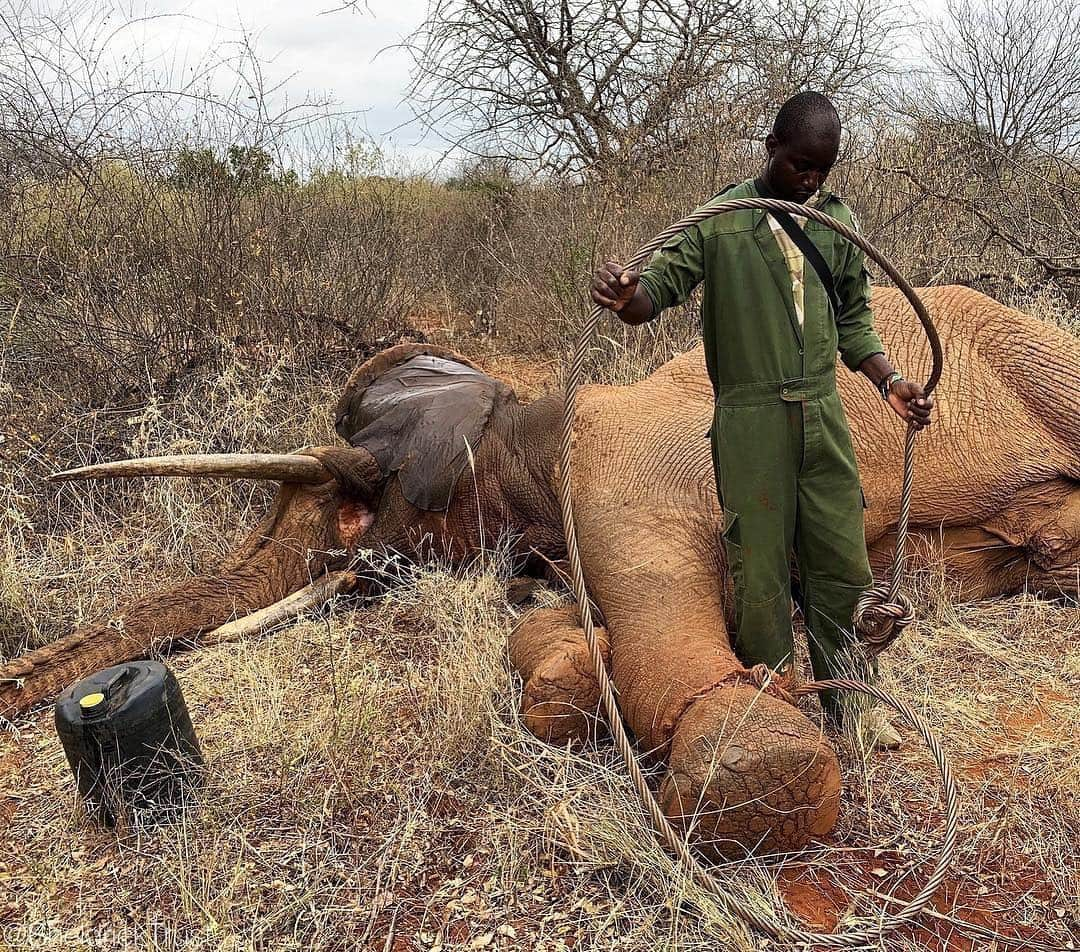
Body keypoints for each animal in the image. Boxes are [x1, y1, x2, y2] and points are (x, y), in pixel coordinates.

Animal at [2, 285, 1080, 860]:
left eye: (358, 493)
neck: (512, 420)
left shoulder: (623, 461)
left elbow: (654, 587)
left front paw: (754, 777)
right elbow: (552, 624)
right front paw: (564, 673)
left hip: (1035, 348)